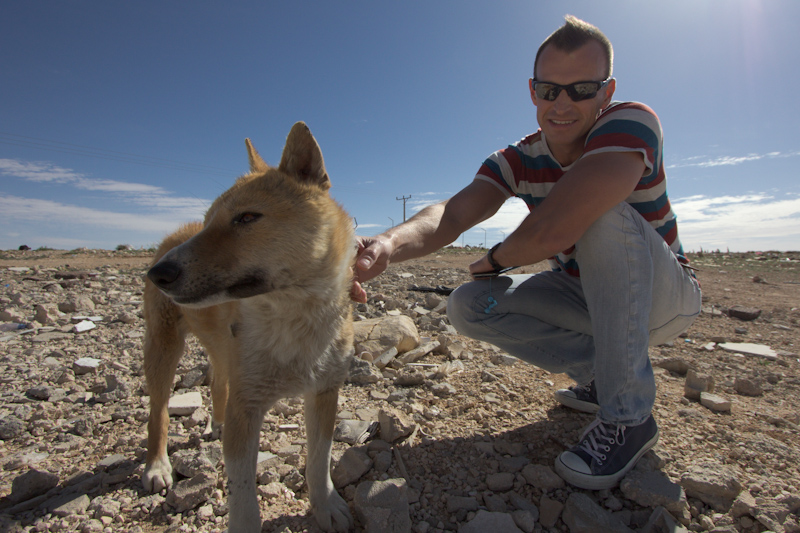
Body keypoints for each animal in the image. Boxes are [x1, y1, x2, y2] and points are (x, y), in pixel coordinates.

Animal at [142, 122, 354, 528]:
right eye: (208, 221)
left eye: (246, 218)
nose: (157, 273)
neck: (295, 316)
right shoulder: (247, 407)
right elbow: (242, 495)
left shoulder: (324, 391)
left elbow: (318, 461)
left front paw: (325, 505)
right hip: (162, 350)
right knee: (157, 411)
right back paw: (157, 466)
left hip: (221, 355)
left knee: (217, 381)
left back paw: (216, 424)